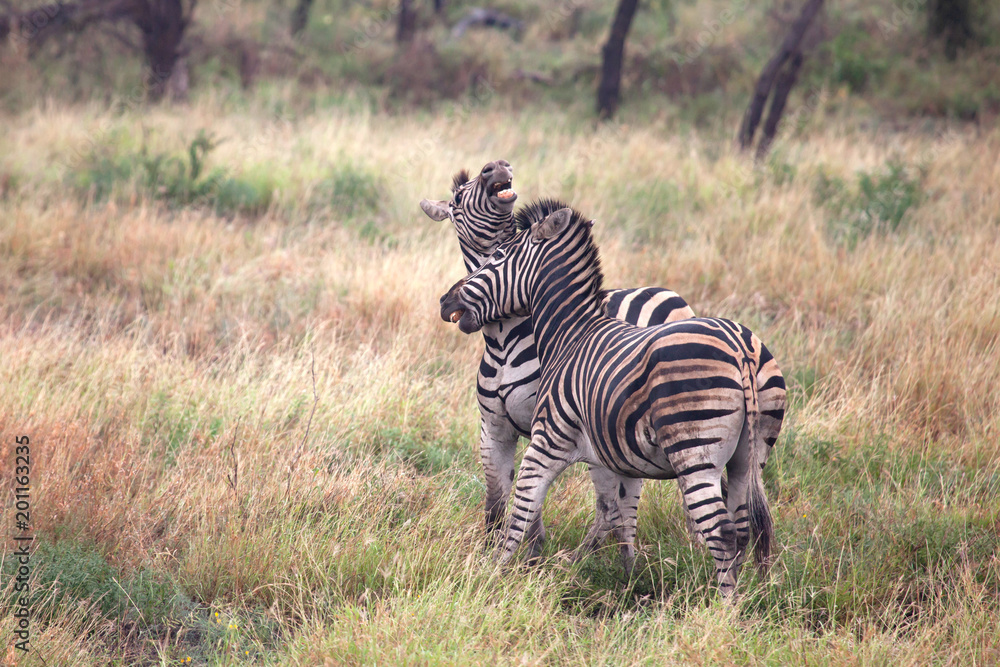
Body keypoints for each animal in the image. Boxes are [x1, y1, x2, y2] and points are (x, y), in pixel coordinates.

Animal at [421, 163, 786, 568]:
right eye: (457, 198)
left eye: (500, 256)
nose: (495, 167)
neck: (504, 338)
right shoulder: (495, 428)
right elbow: (497, 498)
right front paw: (494, 550)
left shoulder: (555, 427)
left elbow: (533, 498)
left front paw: (529, 556)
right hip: (738, 449)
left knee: (641, 503)